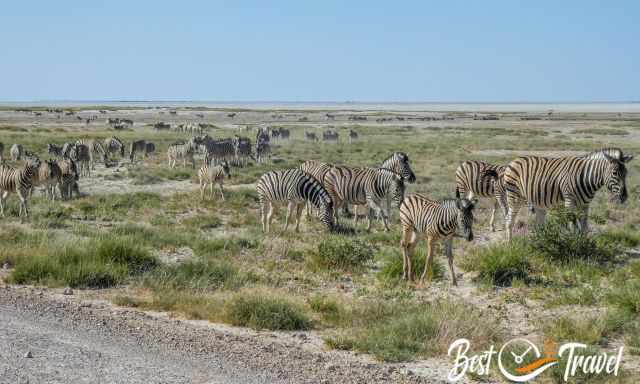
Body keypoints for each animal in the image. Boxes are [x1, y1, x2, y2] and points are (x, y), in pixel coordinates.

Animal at [504, 147, 636, 240]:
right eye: (614, 173)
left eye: (626, 173)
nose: (624, 196)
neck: (586, 178)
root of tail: (514, 160)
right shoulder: (569, 201)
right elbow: (573, 225)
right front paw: (573, 243)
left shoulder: (585, 204)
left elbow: (584, 227)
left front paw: (584, 244)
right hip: (514, 196)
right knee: (509, 220)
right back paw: (510, 245)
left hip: (537, 200)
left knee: (539, 224)